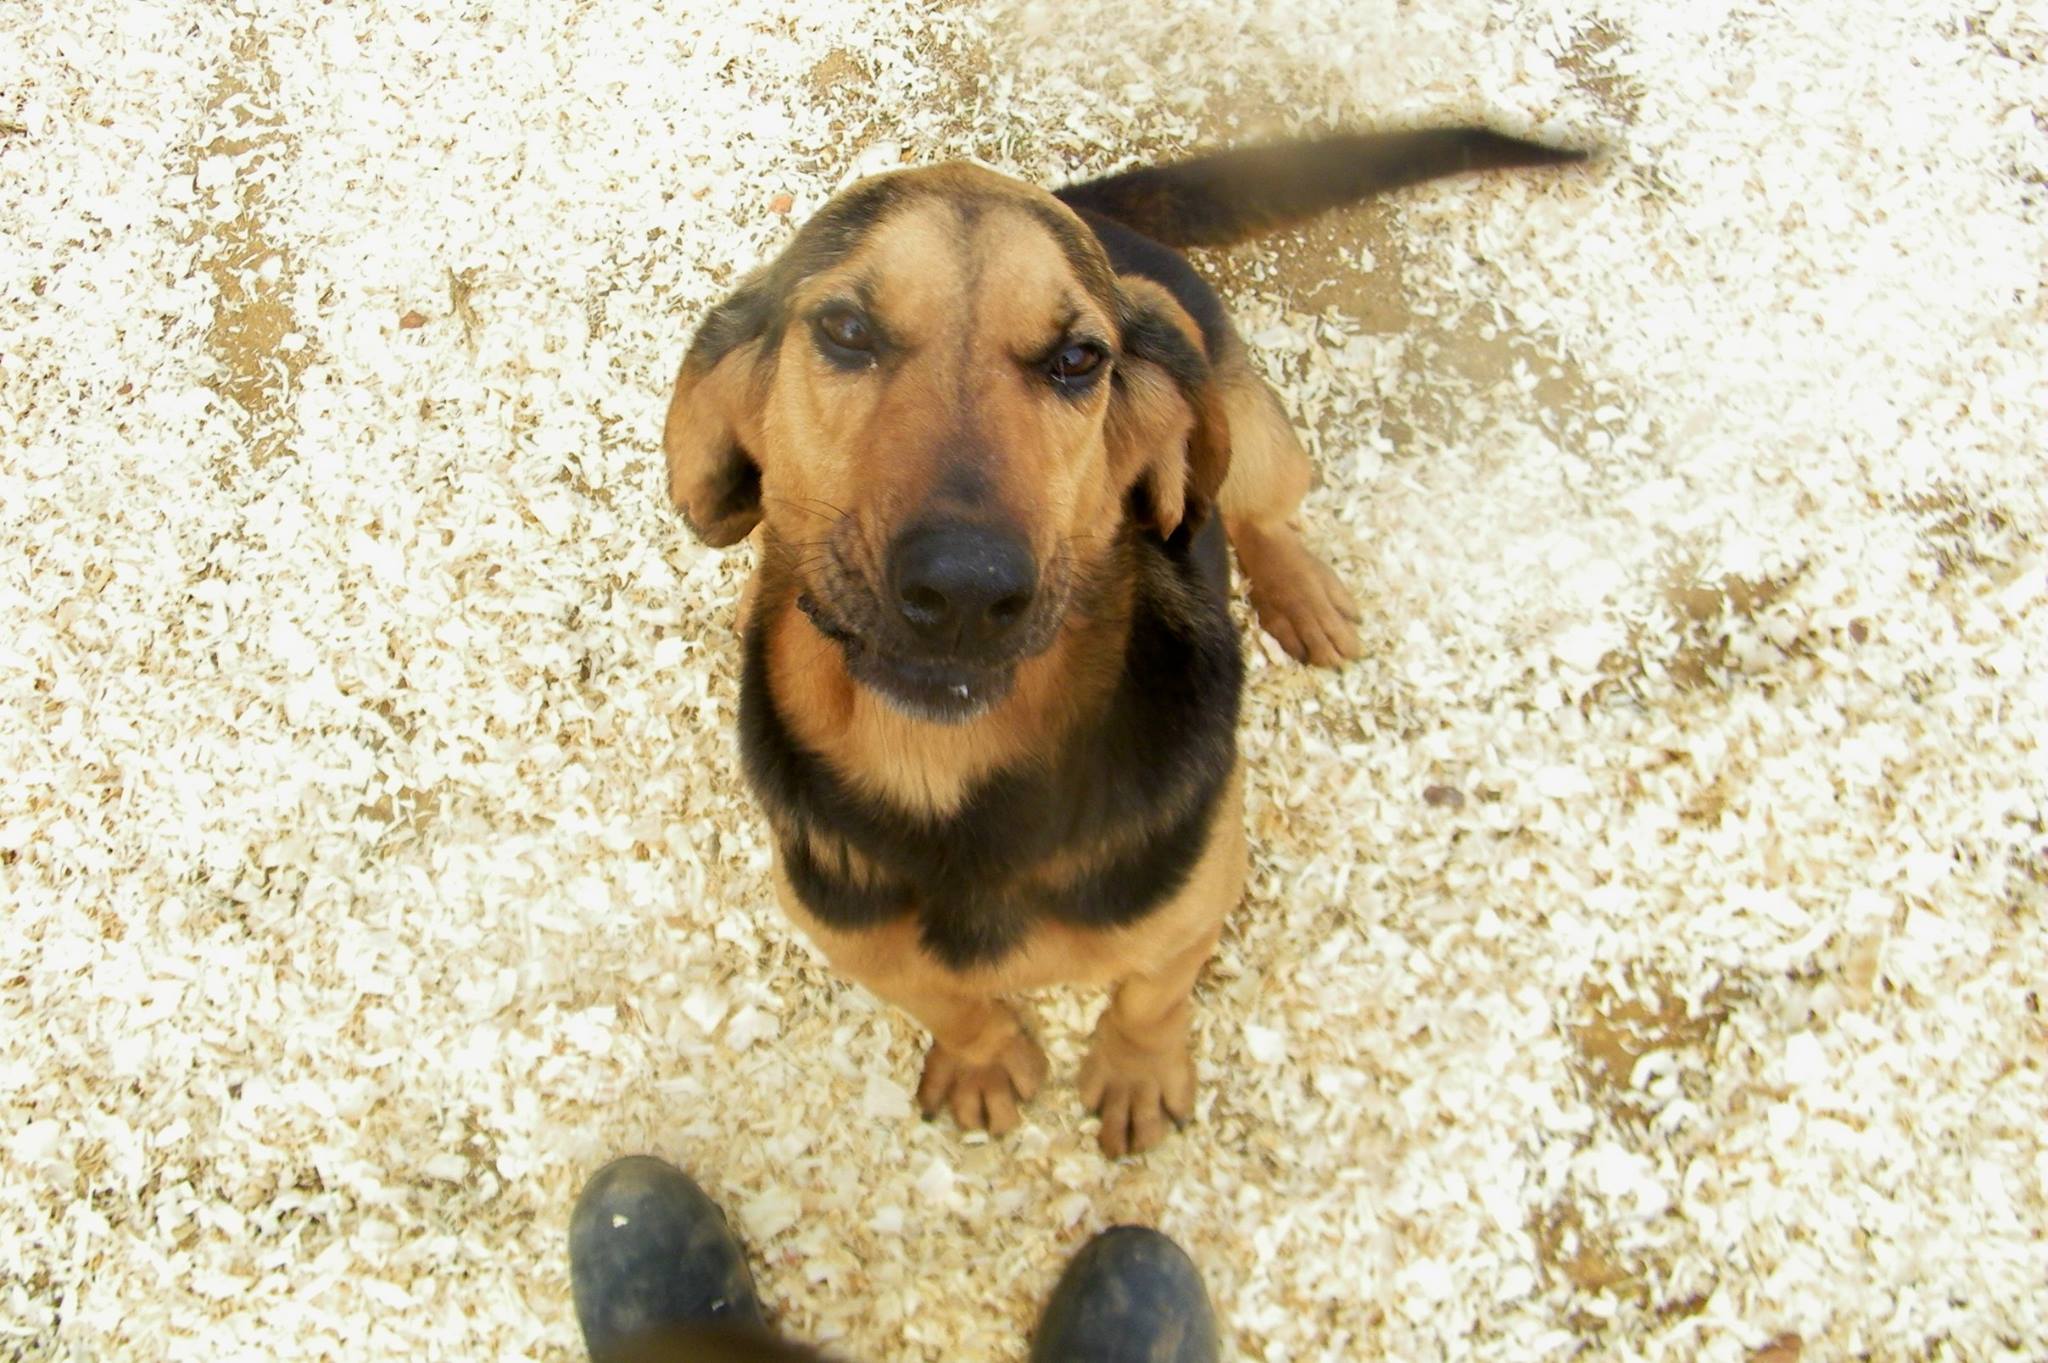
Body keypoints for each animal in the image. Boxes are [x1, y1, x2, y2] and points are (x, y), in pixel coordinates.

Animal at [667, 127, 1581, 1154]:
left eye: (1077, 358)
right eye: (847, 330)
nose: (966, 589)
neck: (949, 772)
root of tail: (1094, 208)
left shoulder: (1198, 896)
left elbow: (1151, 994)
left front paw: (1137, 1071)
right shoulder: (848, 934)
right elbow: (951, 1003)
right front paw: (985, 1058)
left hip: (1255, 437)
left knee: (1262, 511)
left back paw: (1299, 590)